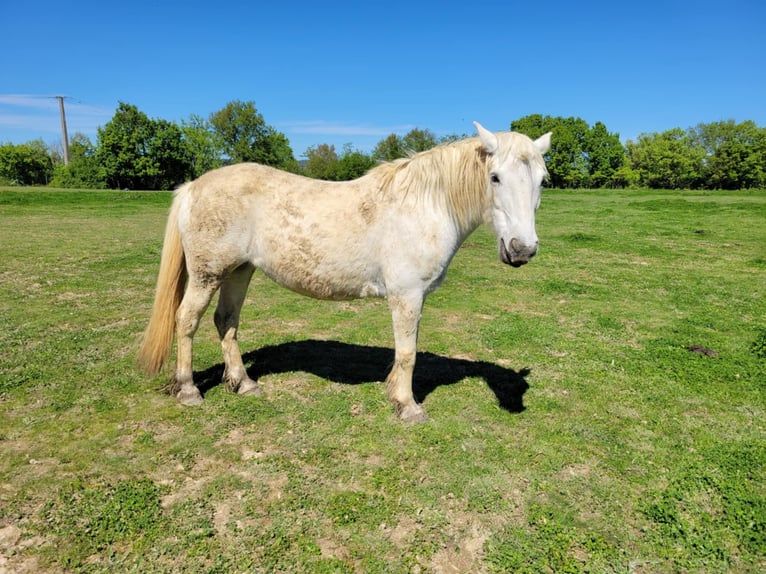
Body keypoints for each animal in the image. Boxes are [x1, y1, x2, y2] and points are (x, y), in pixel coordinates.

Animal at [137, 122, 551, 422]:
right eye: (495, 177)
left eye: (541, 180)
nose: (522, 250)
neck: (425, 206)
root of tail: (193, 187)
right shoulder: (406, 296)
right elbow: (407, 354)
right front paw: (407, 406)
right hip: (207, 274)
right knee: (186, 321)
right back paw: (188, 390)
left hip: (239, 271)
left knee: (226, 322)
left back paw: (243, 383)